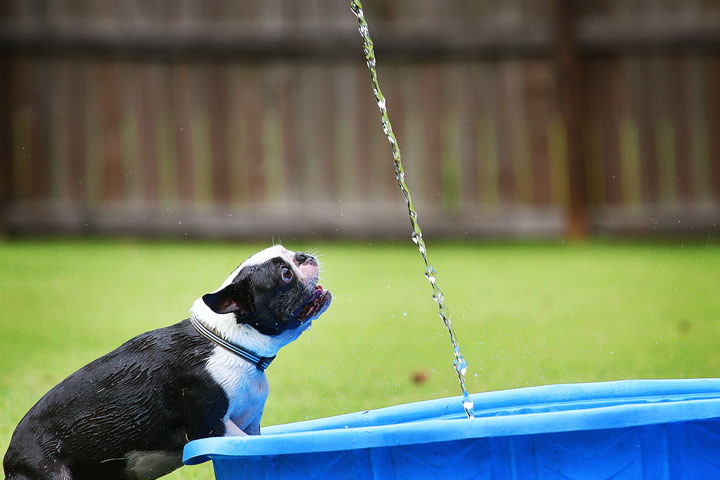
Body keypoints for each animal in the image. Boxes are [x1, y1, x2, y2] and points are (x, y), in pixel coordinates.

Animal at [3, 248, 332, 480]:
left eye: (289, 254)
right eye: (285, 274)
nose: (303, 256)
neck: (233, 346)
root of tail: (9, 456)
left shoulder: (250, 429)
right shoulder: (214, 430)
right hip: (49, 470)